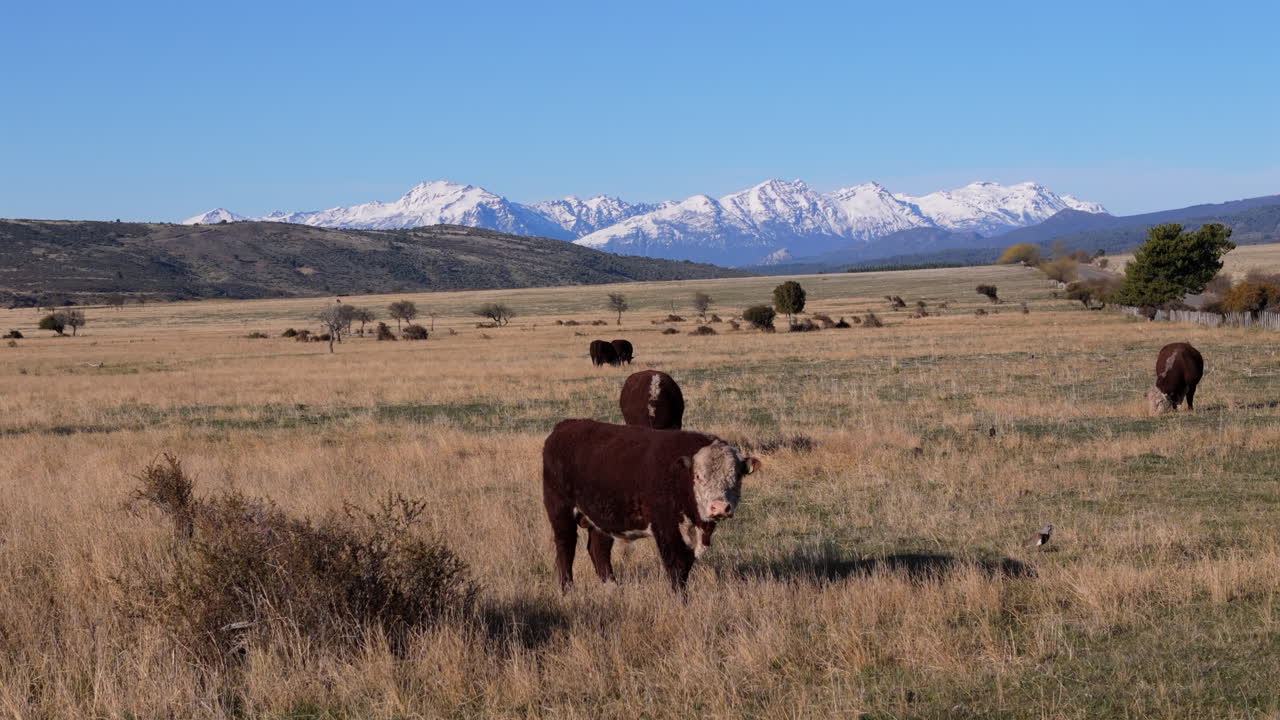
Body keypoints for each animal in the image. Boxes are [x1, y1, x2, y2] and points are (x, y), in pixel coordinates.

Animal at [541, 419, 761, 591]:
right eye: (698, 476)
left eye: (737, 476)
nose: (720, 507)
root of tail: (564, 427)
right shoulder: (666, 529)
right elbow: (677, 566)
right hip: (560, 510)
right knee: (565, 547)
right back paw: (568, 589)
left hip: (601, 516)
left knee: (598, 548)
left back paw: (612, 586)